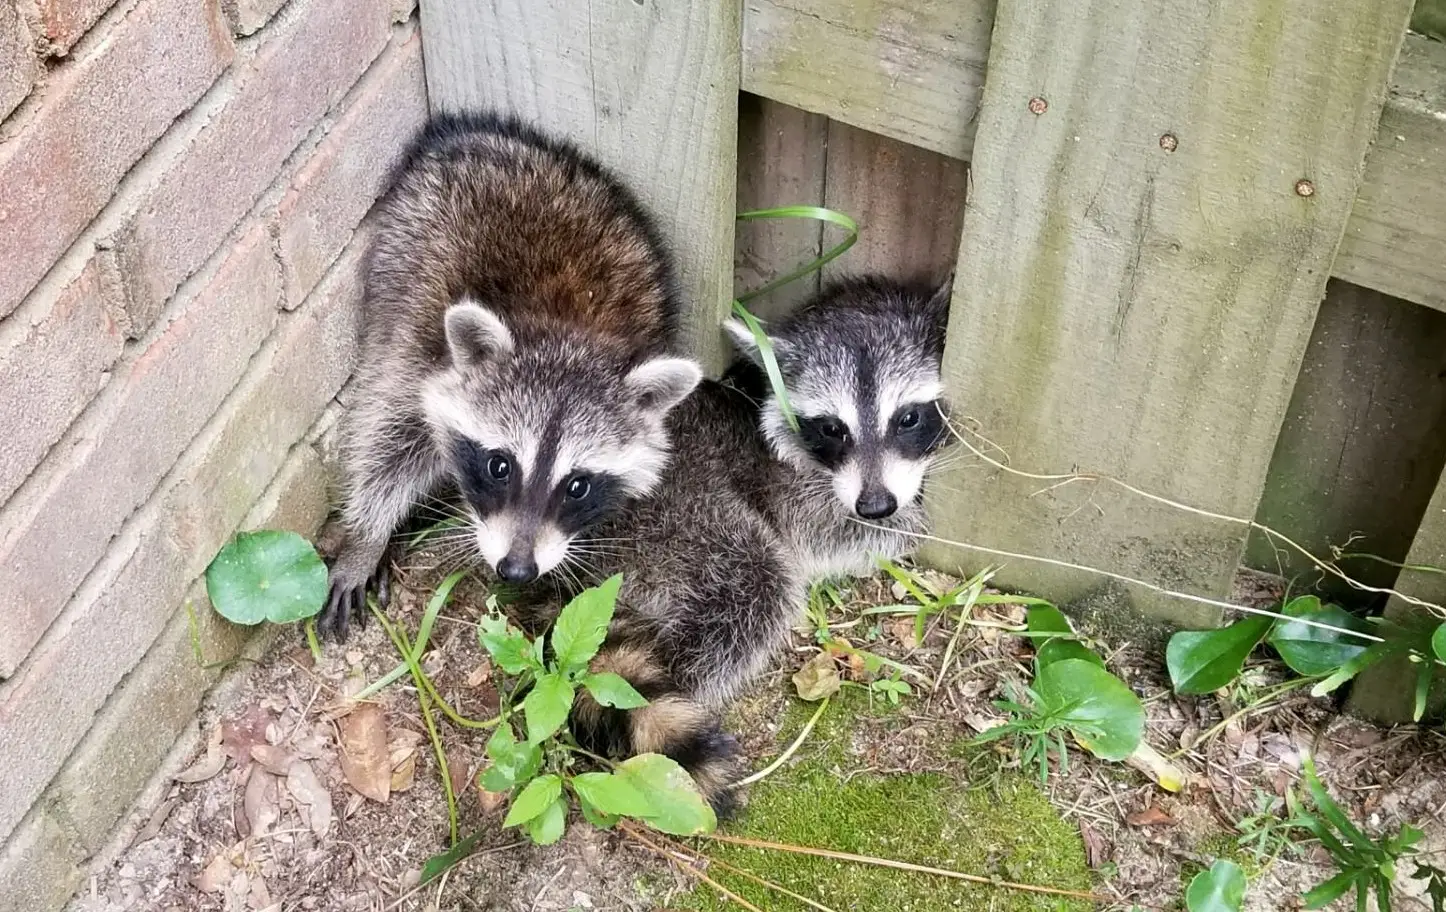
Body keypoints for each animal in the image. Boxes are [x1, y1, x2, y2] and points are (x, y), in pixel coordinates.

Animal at [316, 112, 699, 641]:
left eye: (577, 486)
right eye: (500, 466)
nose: (517, 570)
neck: (569, 330)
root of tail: (467, 133)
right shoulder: (418, 350)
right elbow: (387, 442)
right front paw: (366, 537)